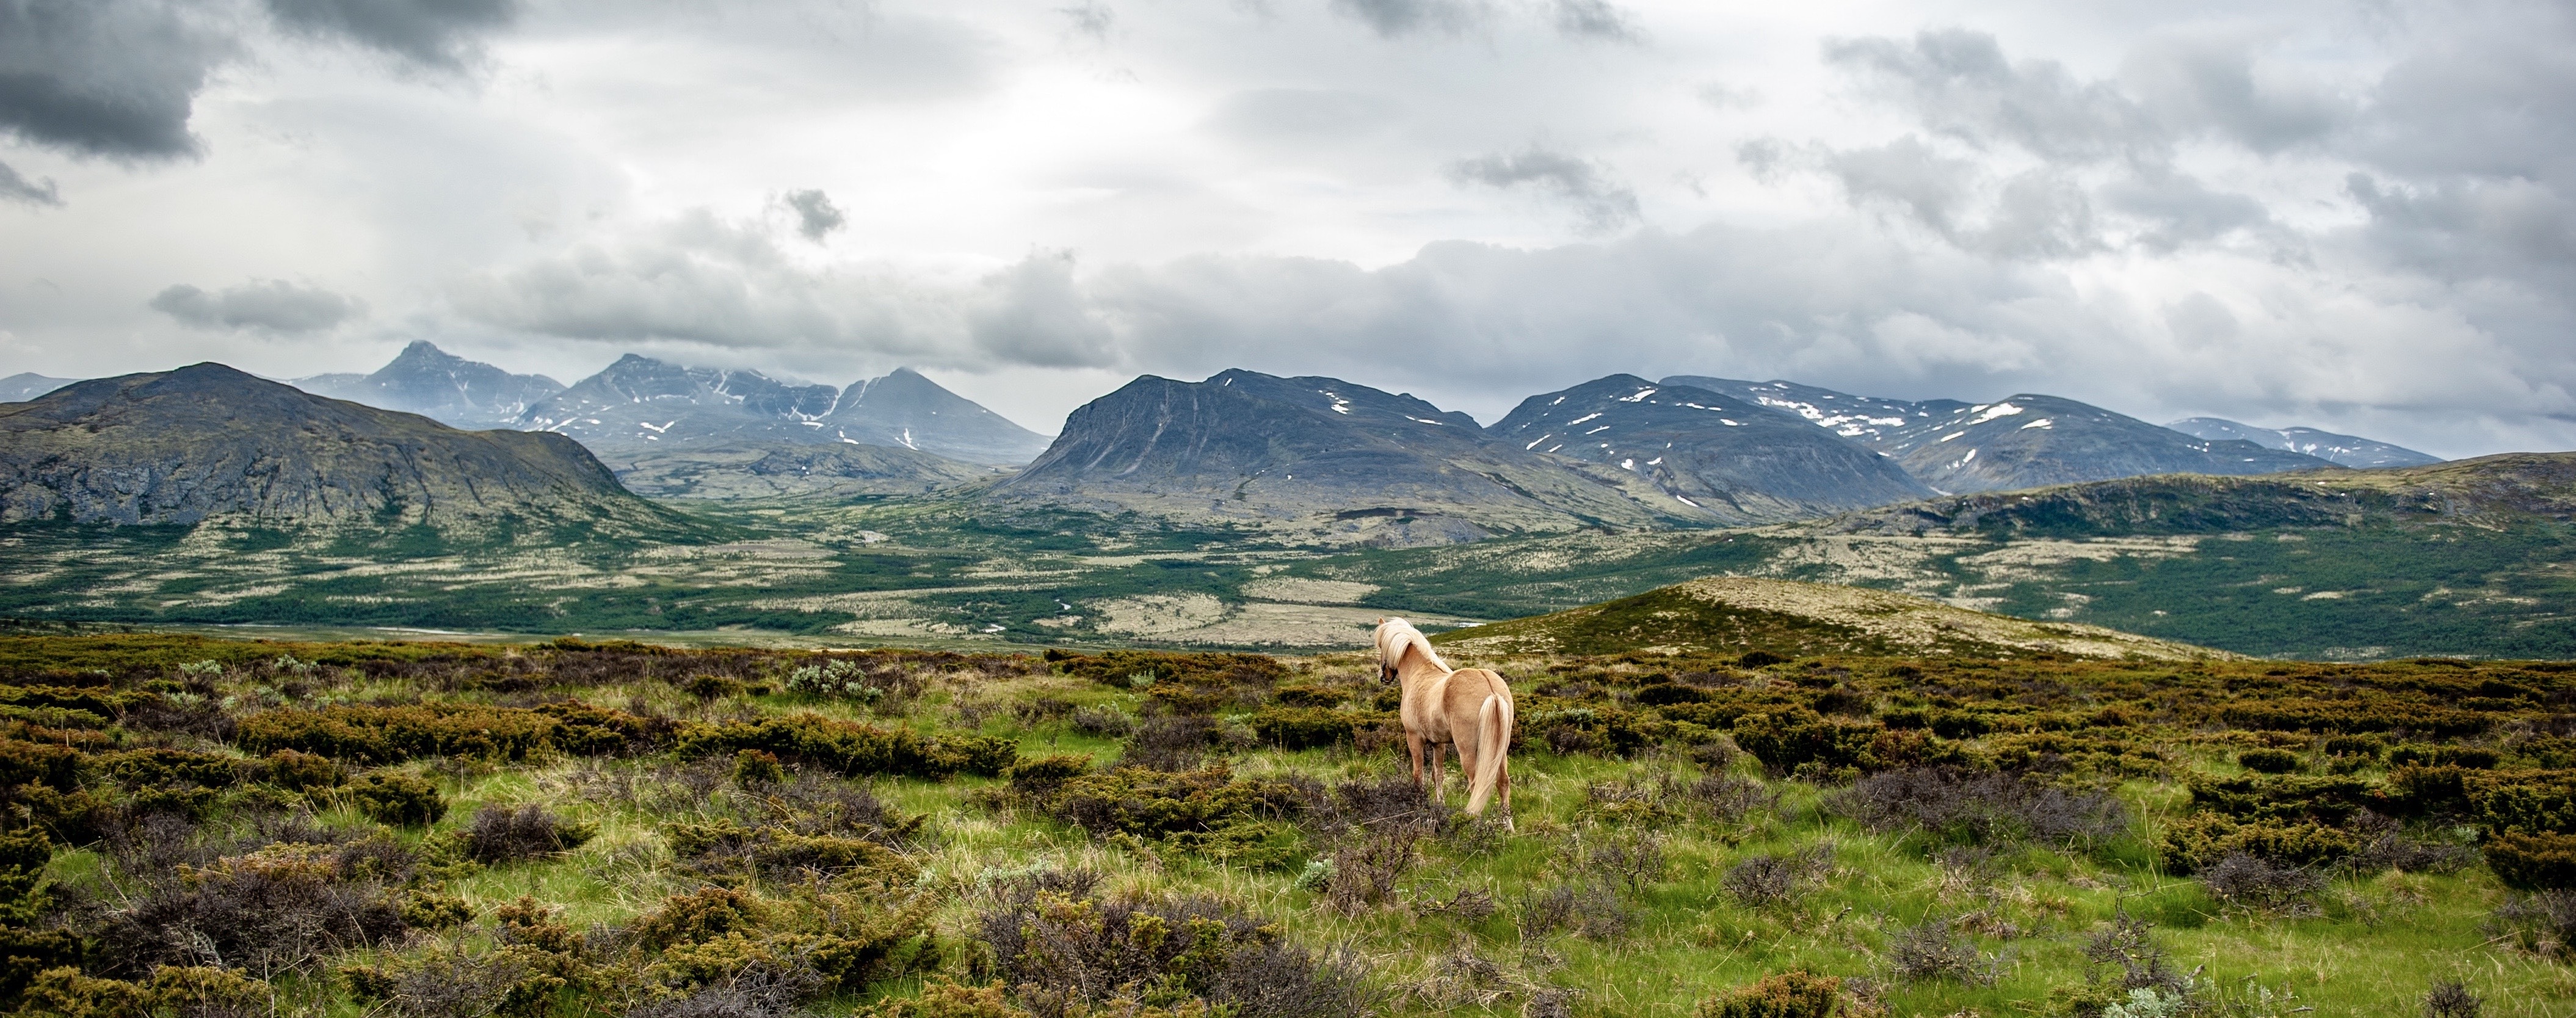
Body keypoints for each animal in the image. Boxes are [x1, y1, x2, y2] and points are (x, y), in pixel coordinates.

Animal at [1370, 618, 1504, 824]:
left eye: (1381, 646)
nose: (1383, 676)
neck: (1420, 672)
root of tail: (1490, 688)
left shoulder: (1414, 738)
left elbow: (1418, 775)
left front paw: (1418, 805)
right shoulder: (1438, 743)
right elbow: (1437, 775)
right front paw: (1439, 804)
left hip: (1468, 752)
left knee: (1477, 785)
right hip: (1500, 752)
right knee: (1504, 783)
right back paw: (1508, 827)